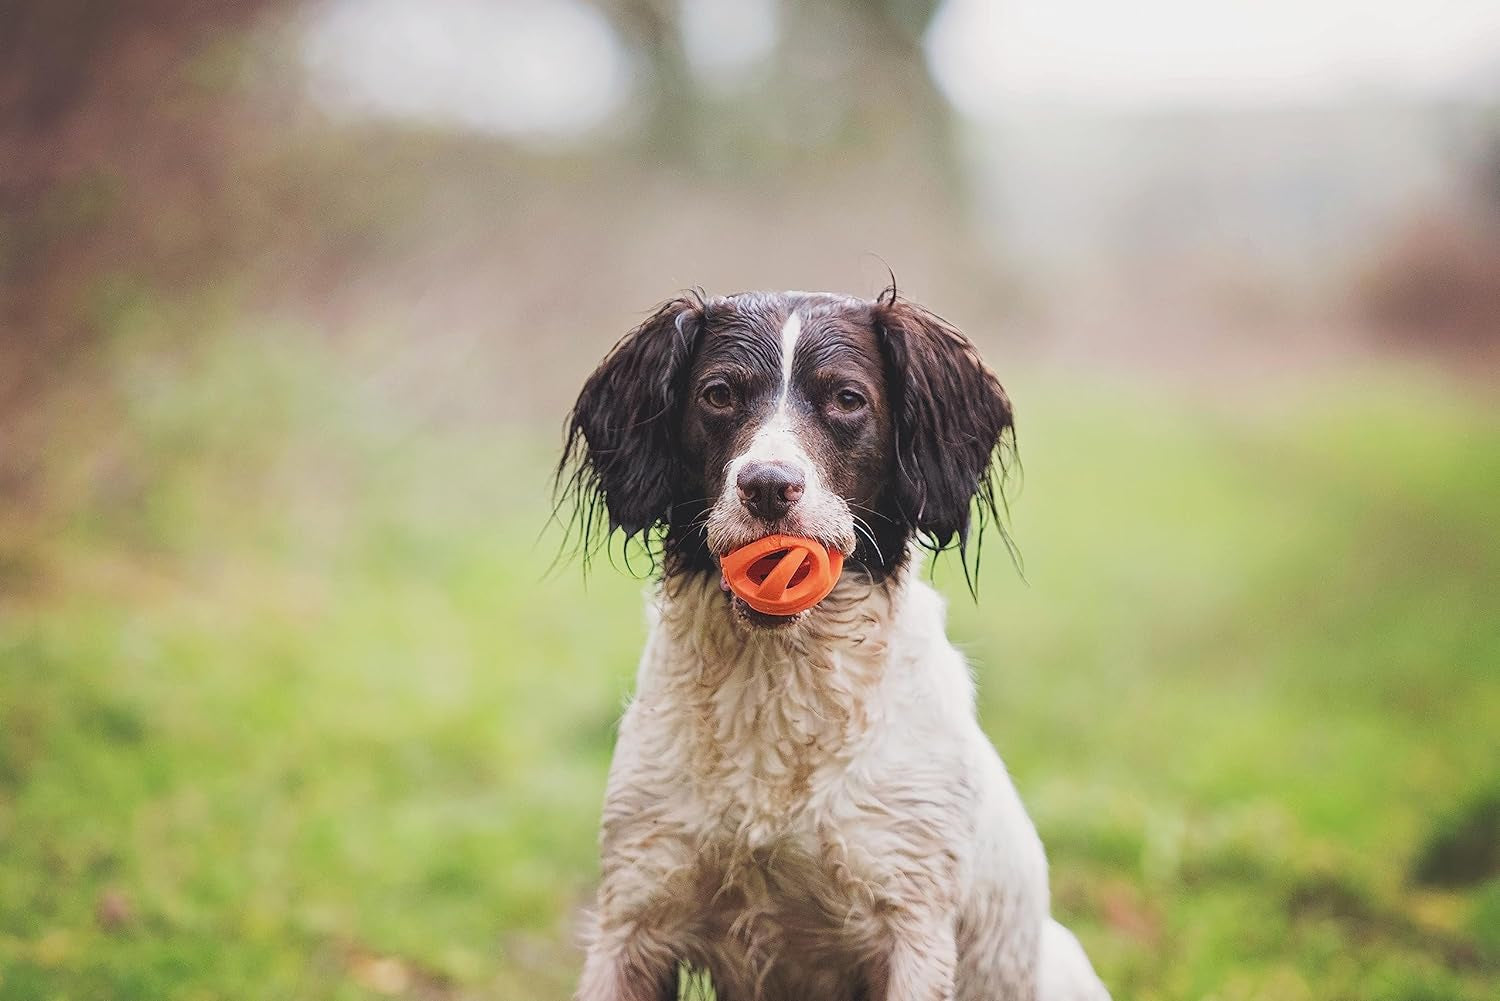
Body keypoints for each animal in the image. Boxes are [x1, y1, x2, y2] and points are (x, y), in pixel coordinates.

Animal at [558, 288, 1110, 1001]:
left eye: (847, 399)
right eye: (718, 394)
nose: (768, 485)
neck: (777, 683)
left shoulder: (911, 923)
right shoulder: (635, 910)